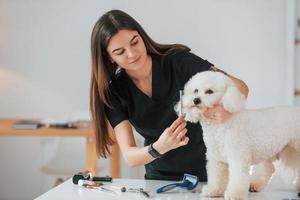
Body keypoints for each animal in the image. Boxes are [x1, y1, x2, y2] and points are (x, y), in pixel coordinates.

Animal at [175, 71, 300, 199]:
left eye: (209, 91)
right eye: (195, 90)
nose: (196, 100)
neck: (220, 126)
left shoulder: (238, 157)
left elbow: (238, 177)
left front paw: (234, 194)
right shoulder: (216, 158)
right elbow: (216, 176)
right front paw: (213, 190)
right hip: (272, 149)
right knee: (269, 168)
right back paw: (255, 185)